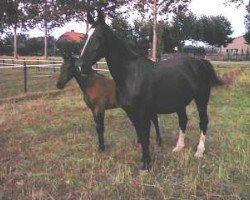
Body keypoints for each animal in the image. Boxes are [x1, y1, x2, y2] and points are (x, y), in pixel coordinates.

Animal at [76, 11, 223, 170]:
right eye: (85, 37)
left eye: (99, 37)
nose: (81, 66)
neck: (132, 75)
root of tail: (201, 61)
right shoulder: (131, 113)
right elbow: (141, 136)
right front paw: (144, 161)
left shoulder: (143, 113)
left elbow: (145, 137)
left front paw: (146, 164)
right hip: (180, 102)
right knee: (183, 121)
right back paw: (179, 147)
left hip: (201, 99)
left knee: (203, 122)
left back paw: (199, 151)